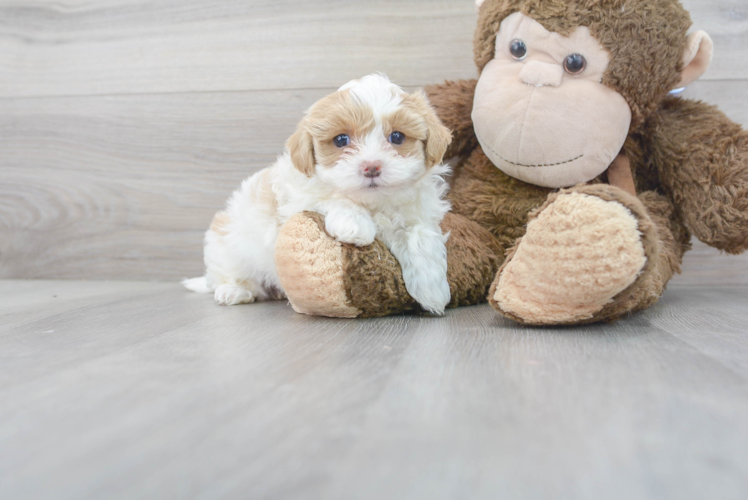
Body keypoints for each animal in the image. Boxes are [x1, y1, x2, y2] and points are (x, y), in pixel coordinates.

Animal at [184, 73, 452, 316]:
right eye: (341, 140)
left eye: (397, 137)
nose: (371, 167)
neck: (373, 203)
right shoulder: (297, 196)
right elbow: (332, 197)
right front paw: (354, 224)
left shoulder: (416, 214)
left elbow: (420, 237)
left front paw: (433, 291)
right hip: (227, 246)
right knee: (226, 274)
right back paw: (233, 291)